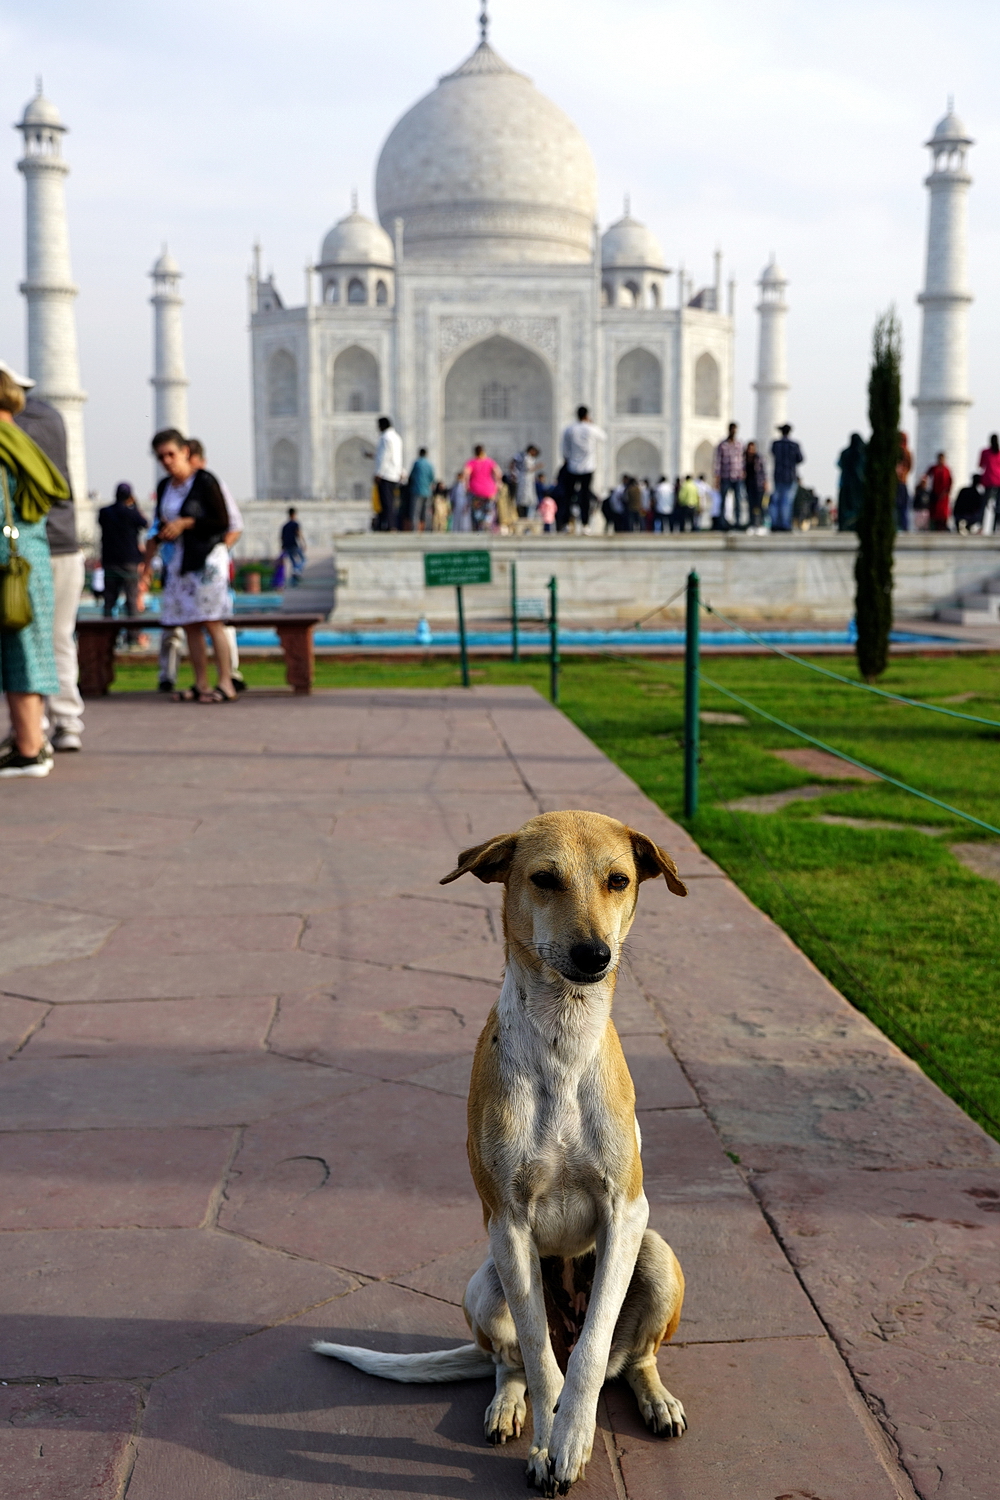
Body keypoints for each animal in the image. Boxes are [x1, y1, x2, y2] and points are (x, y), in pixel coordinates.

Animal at [316, 816, 692, 1494]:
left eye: (618, 880)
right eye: (544, 878)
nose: (594, 955)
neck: (563, 1042)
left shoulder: (626, 1211)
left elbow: (592, 1352)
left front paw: (573, 1437)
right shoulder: (509, 1224)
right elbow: (542, 1362)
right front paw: (549, 1445)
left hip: (655, 1257)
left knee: (629, 1358)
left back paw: (655, 1400)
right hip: (484, 1283)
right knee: (513, 1359)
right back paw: (508, 1408)